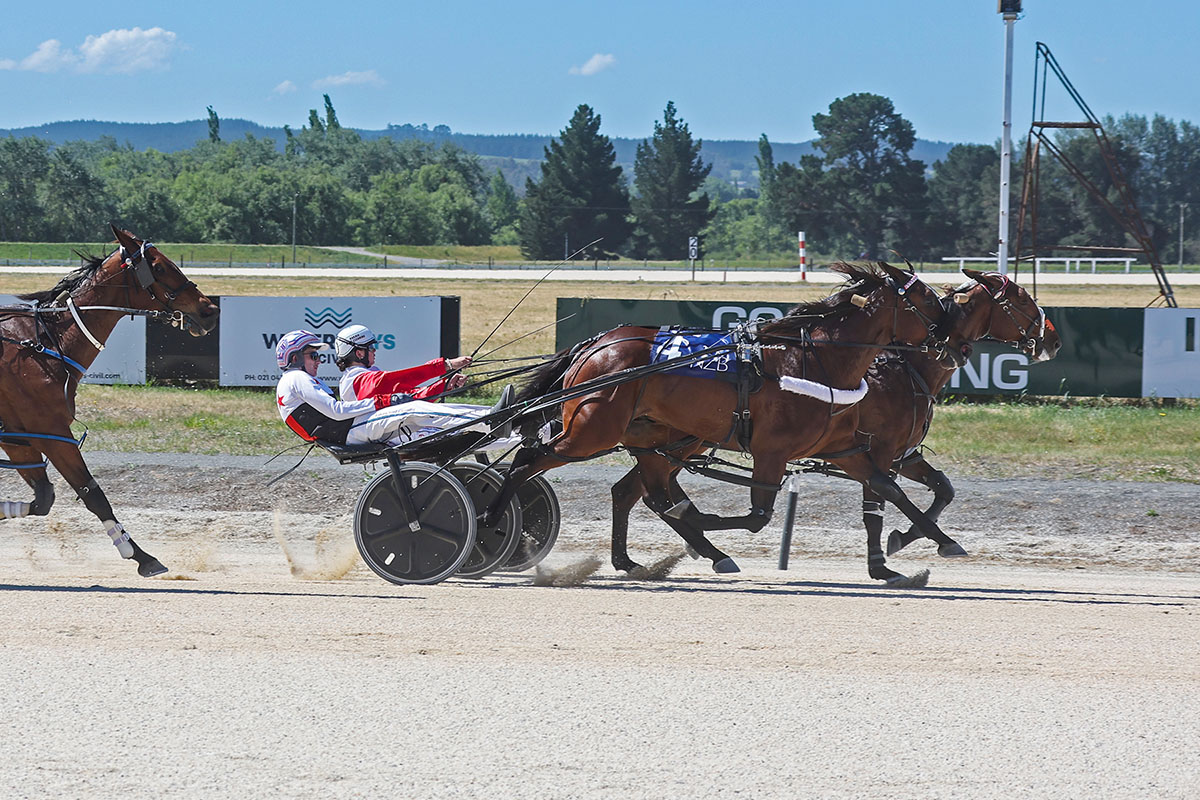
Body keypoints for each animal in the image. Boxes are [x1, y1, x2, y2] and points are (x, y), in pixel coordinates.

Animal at [0, 225, 219, 576]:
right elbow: (93, 495)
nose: (210, 310)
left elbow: (43, 499)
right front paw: (142, 557)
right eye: (159, 267)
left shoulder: (20, 436)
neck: (41, 344)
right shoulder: (51, 431)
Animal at [487, 261, 969, 574]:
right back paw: (493, 520)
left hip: (654, 435)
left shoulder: (843, 448)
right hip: (592, 430)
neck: (813, 360)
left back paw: (645, 556)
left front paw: (937, 544)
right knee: (528, 461)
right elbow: (757, 516)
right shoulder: (772, 451)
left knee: (644, 491)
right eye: (929, 297)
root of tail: (594, 344)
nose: (955, 340)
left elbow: (885, 487)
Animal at [605, 268, 1061, 584]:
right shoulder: (876, 452)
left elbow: (938, 490)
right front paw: (901, 552)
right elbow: (884, 501)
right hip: (682, 442)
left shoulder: (890, 454)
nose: (1053, 339)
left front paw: (902, 544)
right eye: (1023, 299)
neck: (902, 366)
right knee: (651, 492)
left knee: (633, 491)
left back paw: (644, 556)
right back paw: (696, 543)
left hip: (679, 441)